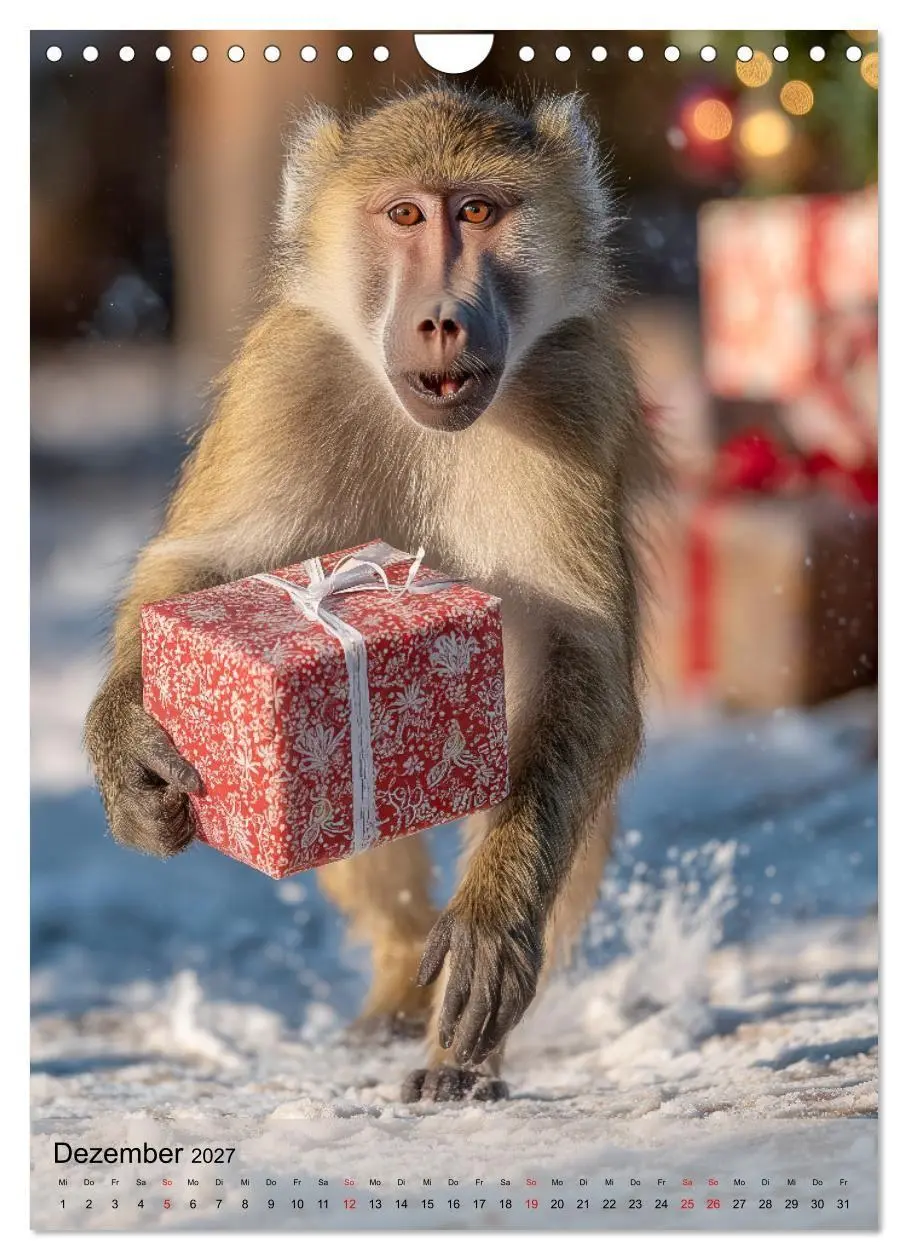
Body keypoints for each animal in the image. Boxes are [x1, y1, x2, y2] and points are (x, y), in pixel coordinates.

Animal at [84, 85, 661, 1104]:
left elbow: (581, 661)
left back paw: (460, 1055)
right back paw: (398, 983)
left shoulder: (576, 388)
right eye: (404, 216)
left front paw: (493, 926)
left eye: (478, 210)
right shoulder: (283, 377)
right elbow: (195, 565)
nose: (442, 320)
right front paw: (132, 749)